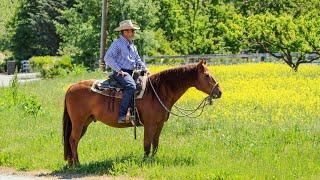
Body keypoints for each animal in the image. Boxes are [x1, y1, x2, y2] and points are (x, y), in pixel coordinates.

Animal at [62, 60, 222, 166]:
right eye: (207, 75)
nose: (219, 92)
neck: (157, 91)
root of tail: (71, 87)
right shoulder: (149, 124)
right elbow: (146, 143)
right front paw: (145, 161)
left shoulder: (159, 124)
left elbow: (155, 142)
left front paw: (153, 160)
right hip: (78, 122)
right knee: (73, 140)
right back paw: (77, 164)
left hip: (85, 122)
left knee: (72, 140)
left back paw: (71, 163)